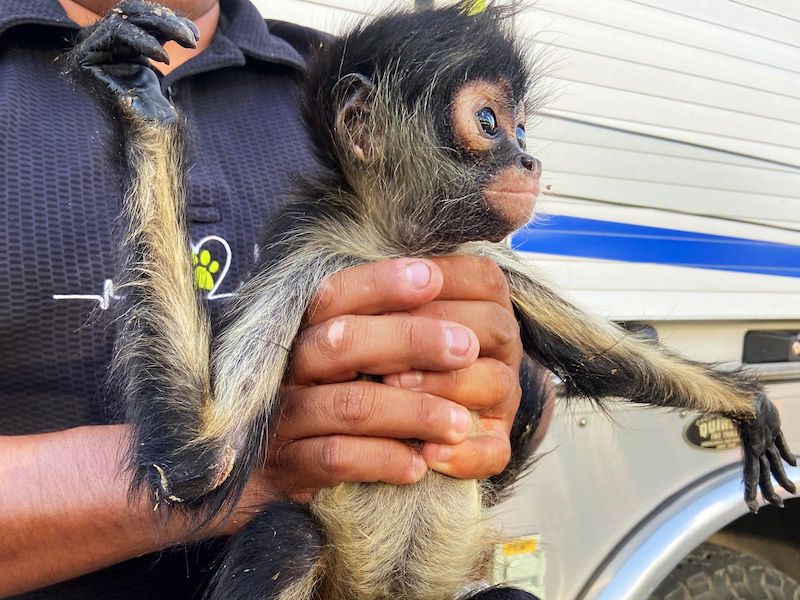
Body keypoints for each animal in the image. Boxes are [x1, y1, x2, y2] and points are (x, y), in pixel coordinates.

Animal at [65, 1, 796, 600]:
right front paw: (140, 106)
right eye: (489, 121)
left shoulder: (484, 259)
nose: (529, 161)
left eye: (523, 129)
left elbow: (610, 356)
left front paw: (748, 404)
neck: (397, 246)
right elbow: (201, 461)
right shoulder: (311, 250)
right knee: (288, 538)